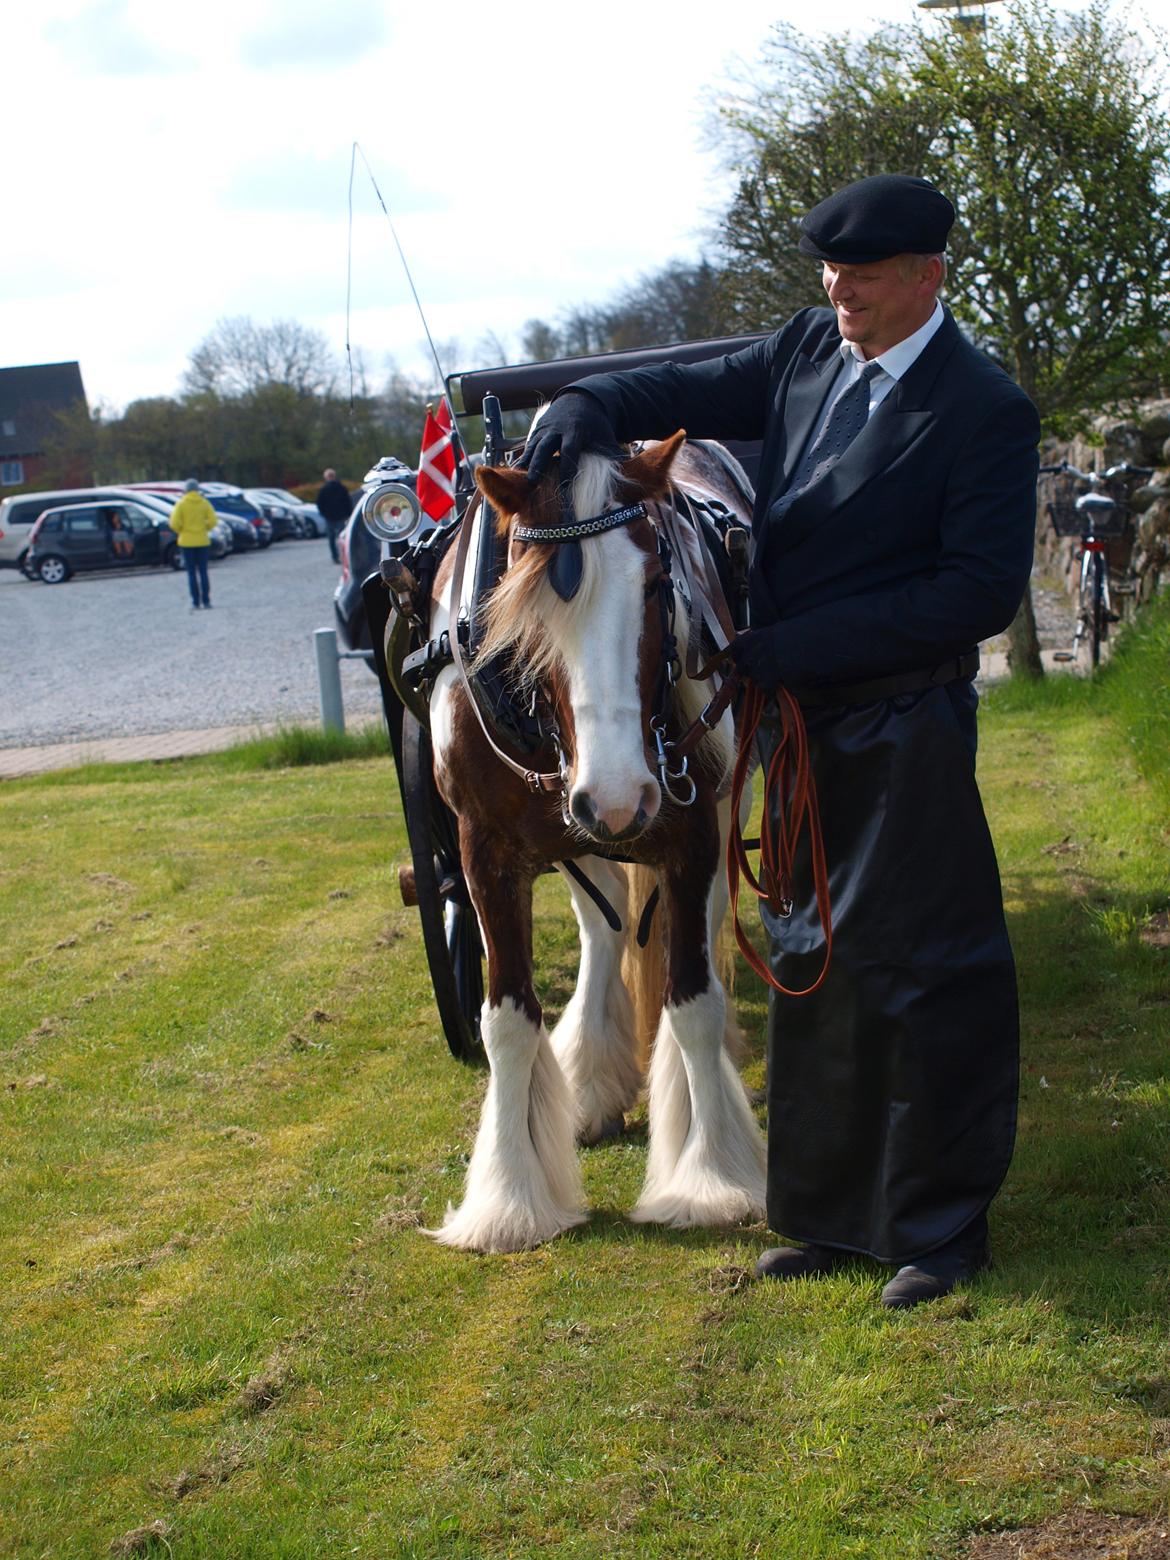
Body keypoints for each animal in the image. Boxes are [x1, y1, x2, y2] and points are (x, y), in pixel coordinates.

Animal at [427, 430, 764, 1254]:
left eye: (656, 585)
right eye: (525, 598)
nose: (617, 797)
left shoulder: (692, 832)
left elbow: (693, 1001)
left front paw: (708, 1180)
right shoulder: (484, 849)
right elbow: (506, 1022)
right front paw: (510, 1198)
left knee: (694, 935)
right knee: (603, 928)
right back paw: (587, 1080)